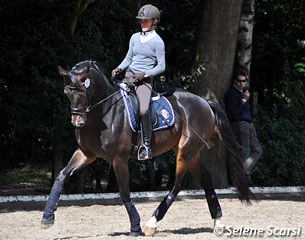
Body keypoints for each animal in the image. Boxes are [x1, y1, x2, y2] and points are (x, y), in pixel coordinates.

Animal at [41, 60, 252, 236]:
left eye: (83, 92)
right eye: (67, 93)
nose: (77, 122)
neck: (103, 113)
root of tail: (205, 102)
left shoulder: (119, 159)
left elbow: (124, 192)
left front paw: (135, 227)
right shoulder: (86, 154)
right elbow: (61, 176)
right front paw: (47, 217)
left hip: (185, 151)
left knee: (177, 185)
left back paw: (152, 223)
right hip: (190, 152)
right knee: (206, 179)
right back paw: (218, 222)